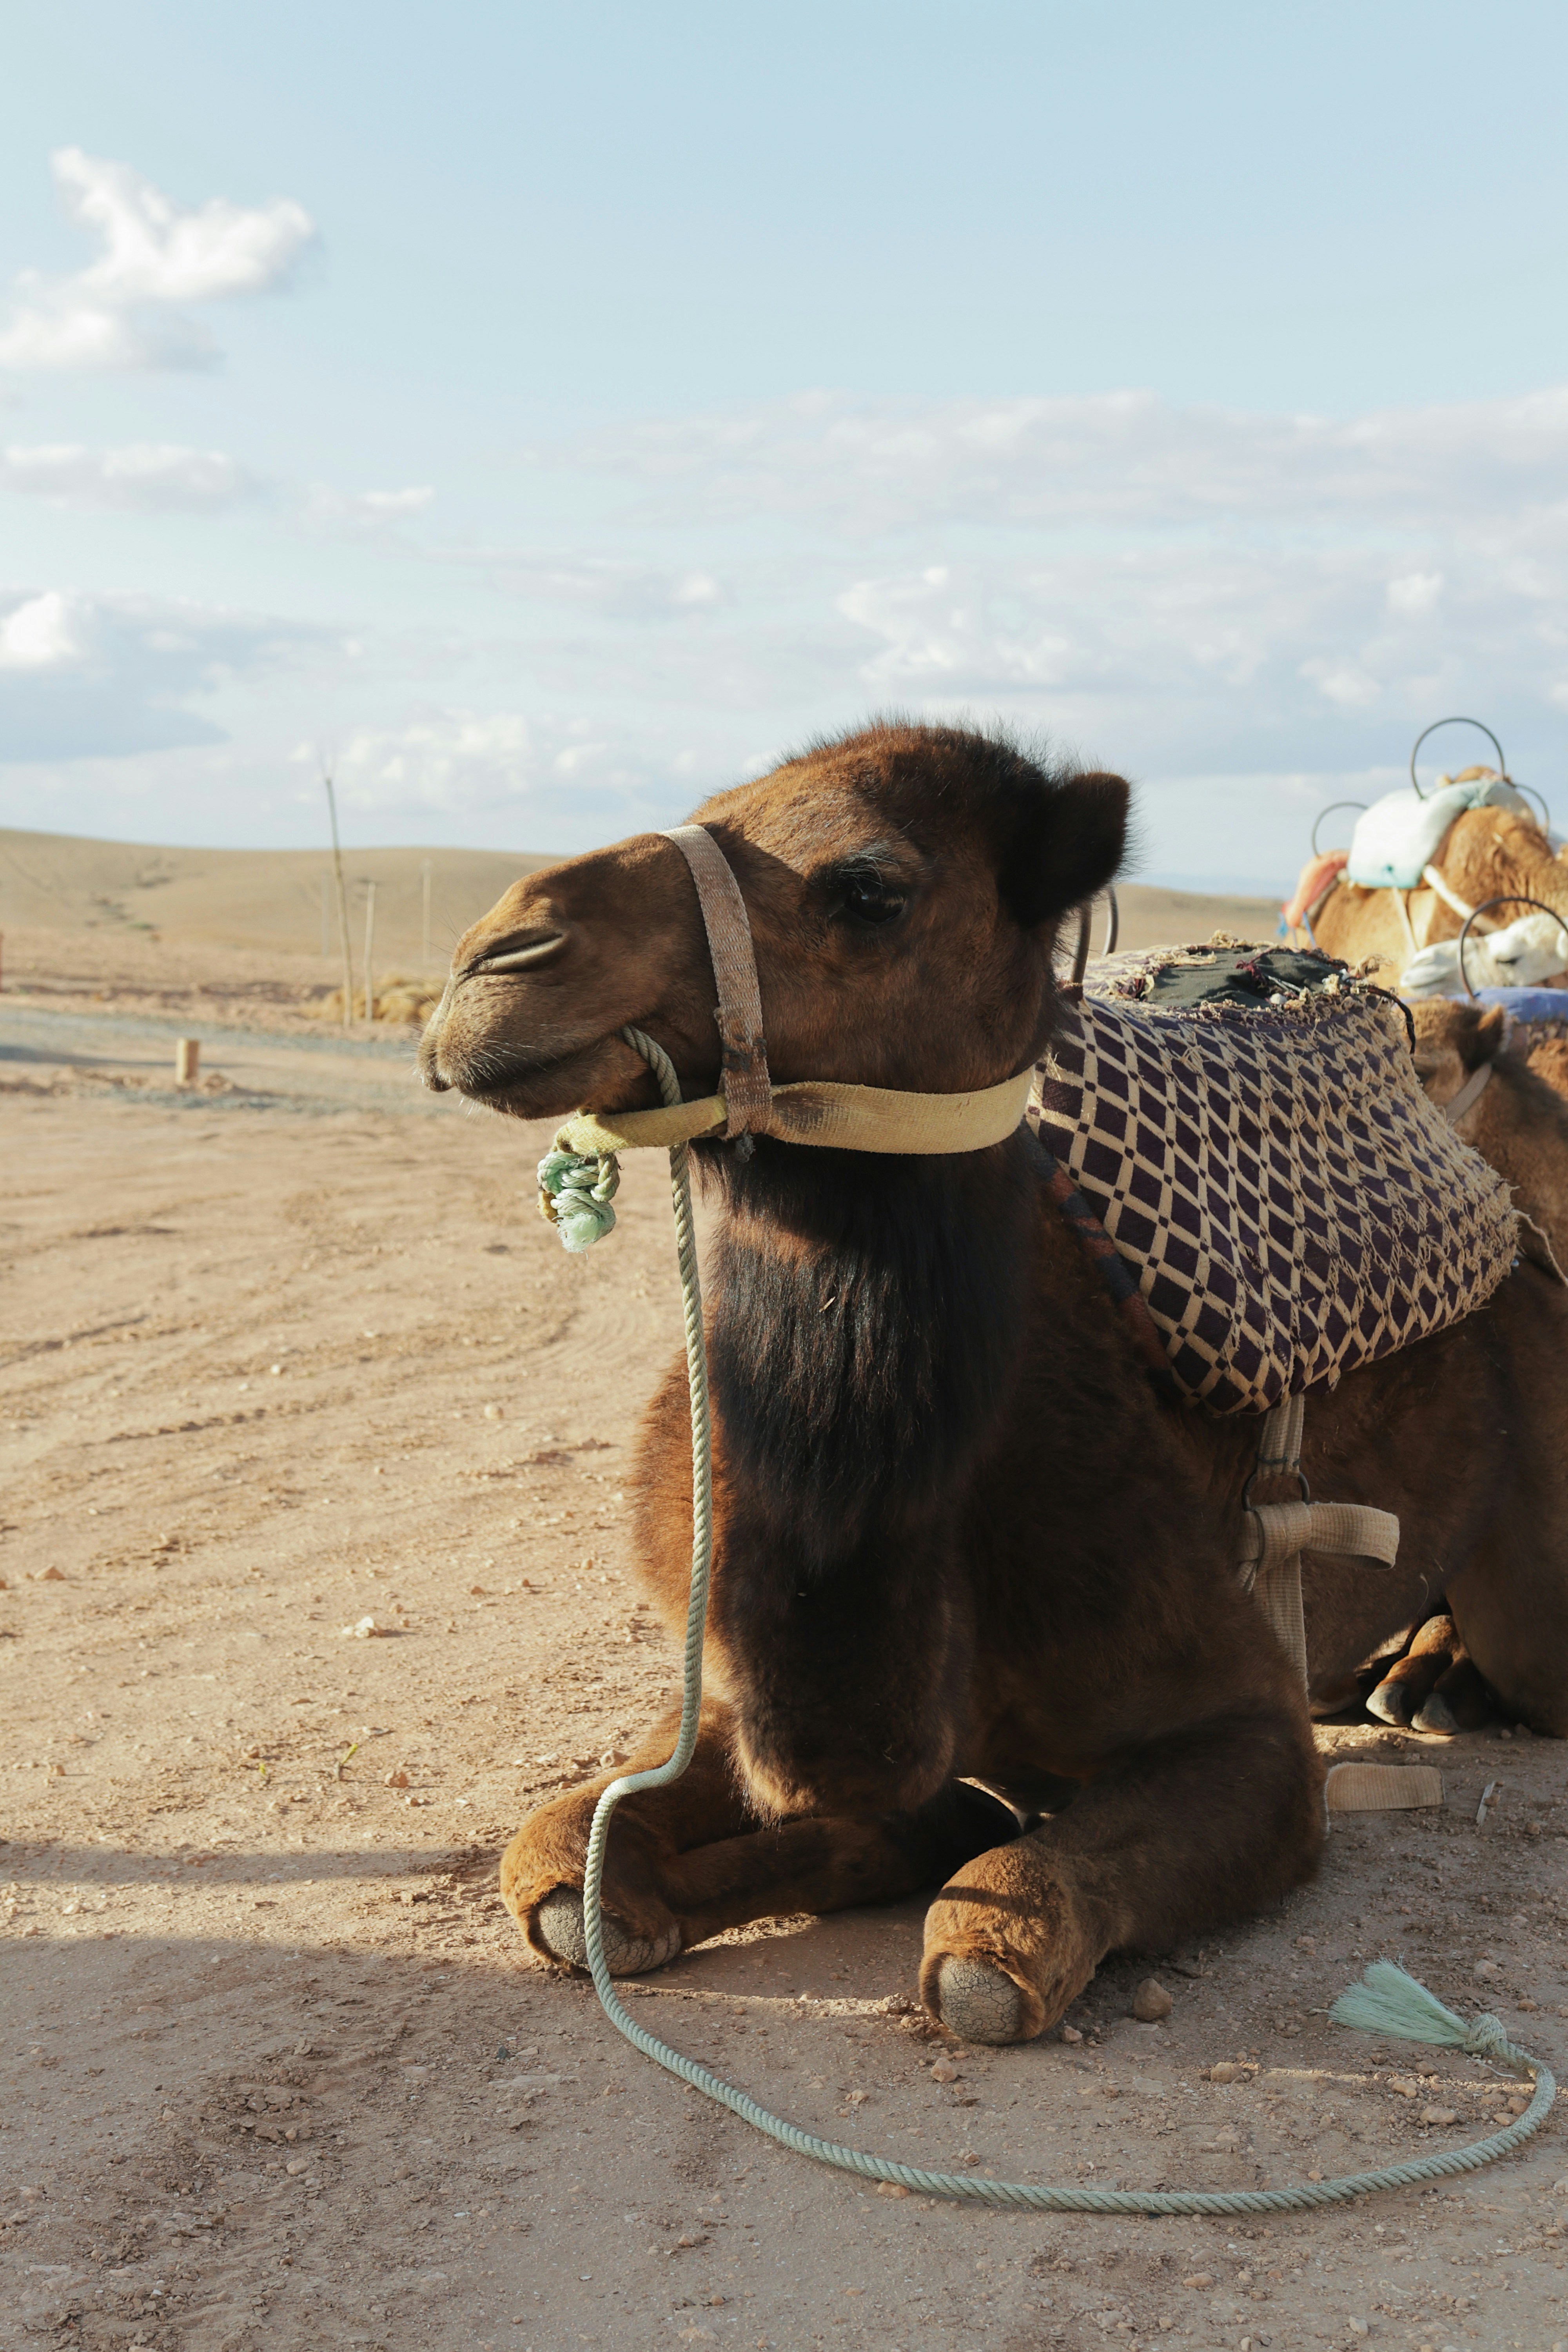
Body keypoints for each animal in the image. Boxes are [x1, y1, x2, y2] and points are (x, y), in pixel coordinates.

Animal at [420, 721, 1568, 2048]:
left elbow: (1000, 1925)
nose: (495, 961)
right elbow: (566, 1859)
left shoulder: (1249, 1734)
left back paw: (1434, 1682)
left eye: (871, 886)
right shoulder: (725, 1696)